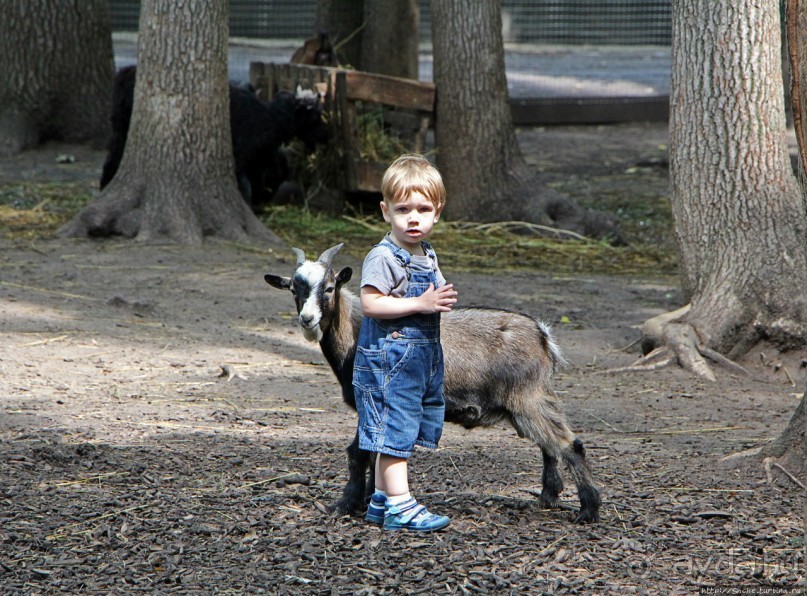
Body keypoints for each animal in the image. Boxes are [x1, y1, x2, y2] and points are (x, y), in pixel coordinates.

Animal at [99, 66, 326, 207]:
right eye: (315, 117)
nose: (326, 137)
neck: (269, 118)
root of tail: (124, 74)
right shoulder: (240, 156)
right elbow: (246, 186)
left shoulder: (260, 157)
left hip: (119, 132)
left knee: (111, 160)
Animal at [266, 242, 600, 520]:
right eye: (293, 290)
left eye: (329, 287)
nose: (307, 319)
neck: (356, 332)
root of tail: (542, 335)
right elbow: (373, 452)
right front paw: (371, 499)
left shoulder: (372, 400)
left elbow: (358, 452)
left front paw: (345, 505)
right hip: (528, 401)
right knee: (549, 446)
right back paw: (548, 497)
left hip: (528, 397)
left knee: (570, 444)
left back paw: (588, 510)